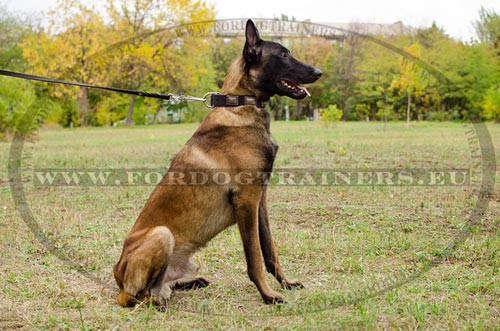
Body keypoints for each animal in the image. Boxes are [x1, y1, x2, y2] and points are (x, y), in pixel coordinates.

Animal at [114, 19, 322, 308]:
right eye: (283, 55)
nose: (319, 72)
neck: (241, 104)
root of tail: (116, 273)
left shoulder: (260, 200)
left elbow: (270, 250)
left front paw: (286, 283)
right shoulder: (247, 201)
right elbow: (254, 257)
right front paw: (268, 294)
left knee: (166, 285)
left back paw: (188, 284)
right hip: (161, 234)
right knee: (136, 296)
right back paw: (158, 301)